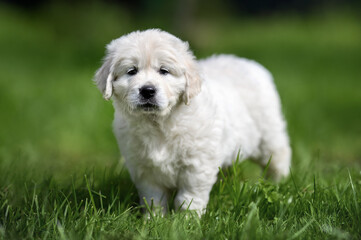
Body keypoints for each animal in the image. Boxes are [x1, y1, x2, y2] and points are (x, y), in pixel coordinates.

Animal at [93, 29, 290, 215]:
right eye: (132, 71)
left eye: (164, 71)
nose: (147, 90)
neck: (158, 123)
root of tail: (249, 64)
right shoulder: (144, 168)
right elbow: (153, 198)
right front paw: (153, 220)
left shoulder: (197, 165)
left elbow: (189, 197)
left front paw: (187, 220)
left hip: (268, 135)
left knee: (278, 157)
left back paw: (280, 185)